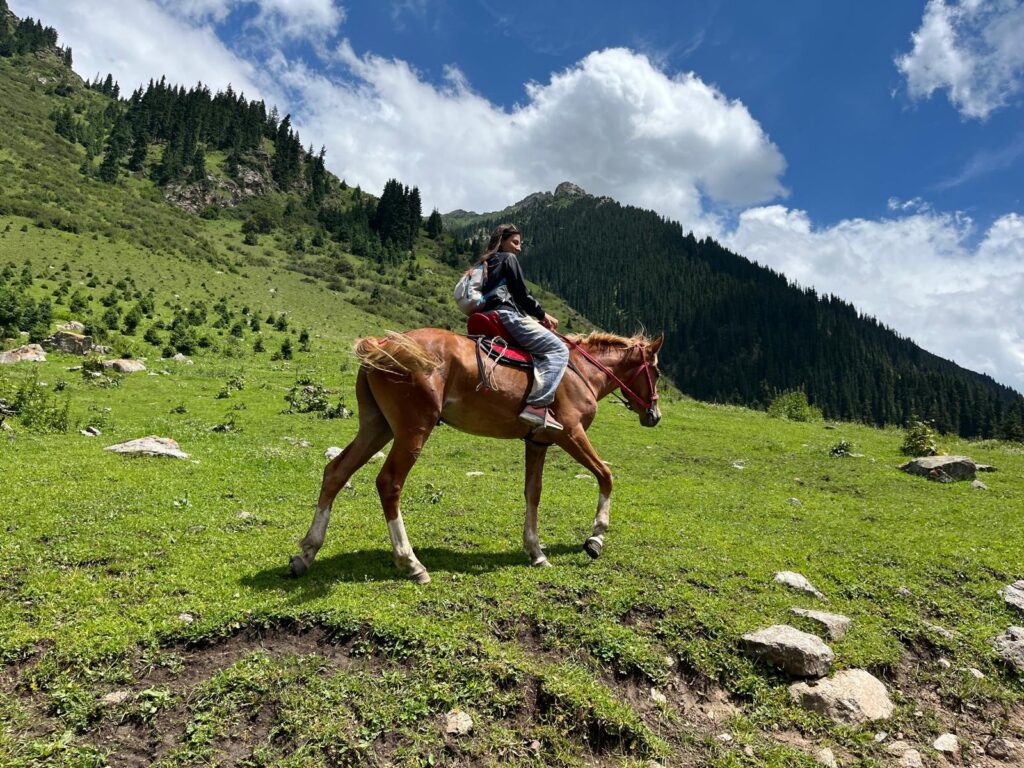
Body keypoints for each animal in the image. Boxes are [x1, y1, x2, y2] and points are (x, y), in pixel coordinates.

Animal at [289, 326, 664, 583]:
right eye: (656, 372)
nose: (655, 415)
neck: (581, 373)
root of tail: (382, 345)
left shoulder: (537, 442)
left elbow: (533, 493)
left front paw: (536, 552)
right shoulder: (571, 433)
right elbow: (605, 475)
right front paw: (595, 537)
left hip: (376, 426)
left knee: (336, 472)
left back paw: (307, 553)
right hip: (413, 430)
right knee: (389, 483)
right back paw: (411, 563)